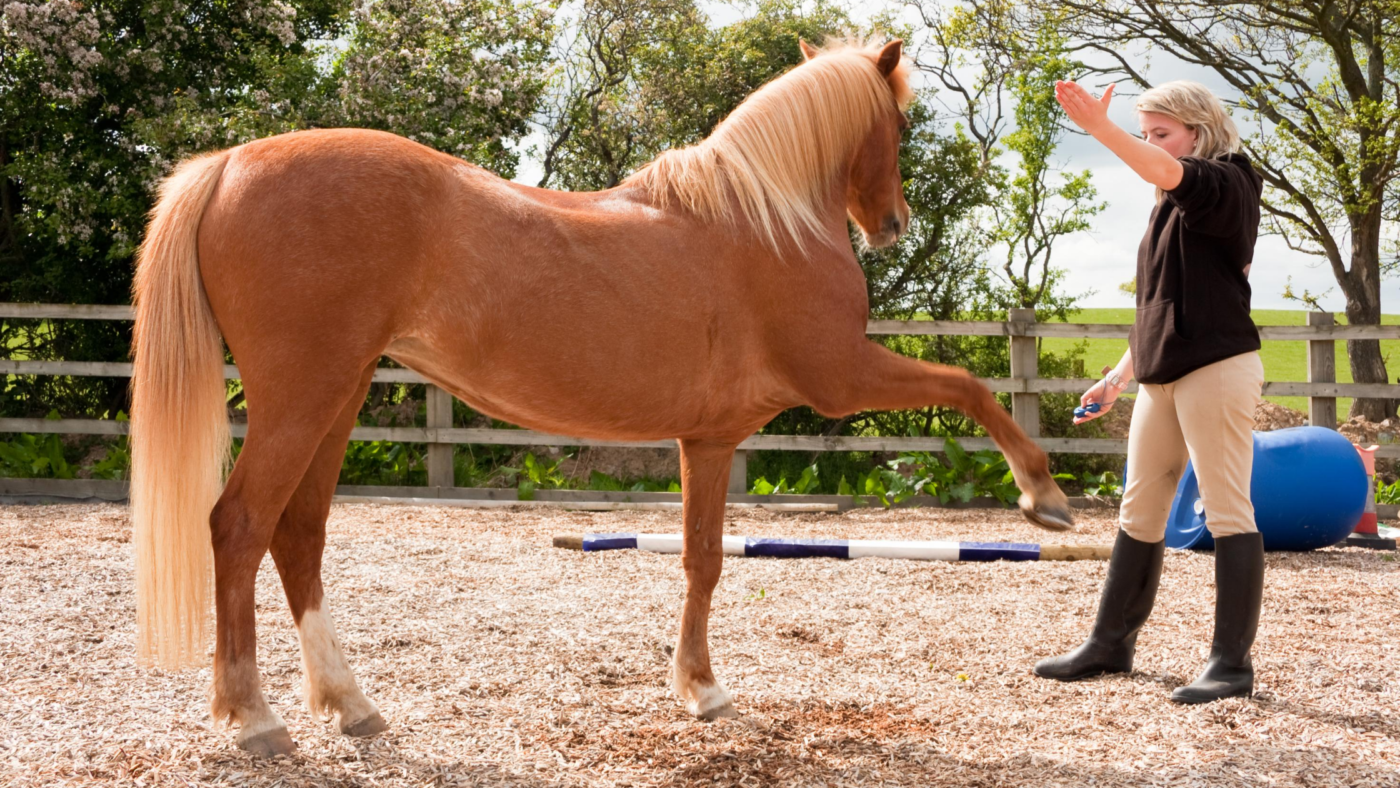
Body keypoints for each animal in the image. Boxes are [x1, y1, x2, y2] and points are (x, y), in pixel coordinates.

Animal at [131, 38, 1069, 755]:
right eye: (900, 122)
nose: (892, 224)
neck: (764, 220)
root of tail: (229, 163)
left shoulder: (711, 439)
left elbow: (701, 560)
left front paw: (700, 689)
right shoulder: (841, 377)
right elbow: (972, 386)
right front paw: (1044, 497)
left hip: (340, 394)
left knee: (299, 535)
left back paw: (350, 704)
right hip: (303, 396)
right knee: (239, 527)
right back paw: (253, 718)